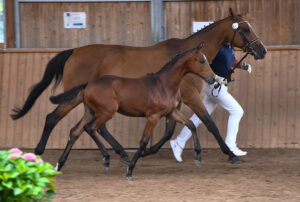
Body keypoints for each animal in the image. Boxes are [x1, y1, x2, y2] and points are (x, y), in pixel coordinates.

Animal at [48, 43, 218, 179]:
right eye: (201, 61)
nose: (212, 78)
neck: (163, 84)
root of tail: (88, 84)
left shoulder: (171, 113)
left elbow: (191, 124)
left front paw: (198, 156)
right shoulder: (153, 116)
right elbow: (143, 142)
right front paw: (130, 169)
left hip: (91, 112)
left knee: (77, 131)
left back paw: (60, 164)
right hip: (106, 112)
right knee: (90, 128)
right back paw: (107, 159)